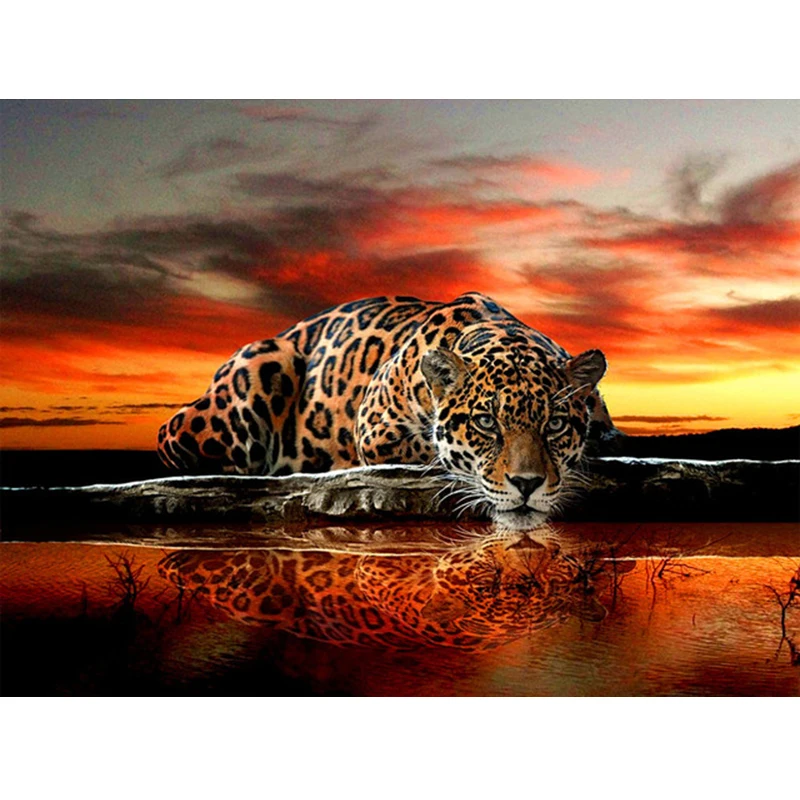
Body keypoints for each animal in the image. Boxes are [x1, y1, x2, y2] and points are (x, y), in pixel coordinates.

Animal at [158, 292, 621, 522]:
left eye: (555, 424)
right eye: (486, 423)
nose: (527, 485)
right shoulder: (376, 429)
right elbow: (432, 450)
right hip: (259, 369)